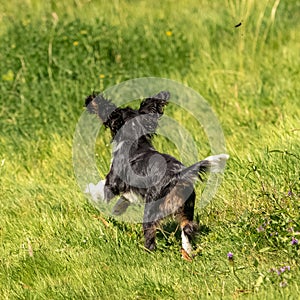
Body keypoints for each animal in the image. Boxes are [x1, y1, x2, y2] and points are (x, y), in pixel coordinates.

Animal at [83, 91, 229, 255]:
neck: (136, 142)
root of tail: (179, 175)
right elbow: (125, 198)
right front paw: (117, 210)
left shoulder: (113, 182)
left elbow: (101, 189)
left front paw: (89, 190)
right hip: (186, 208)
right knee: (187, 229)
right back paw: (187, 253)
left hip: (152, 208)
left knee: (151, 234)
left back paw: (146, 252)